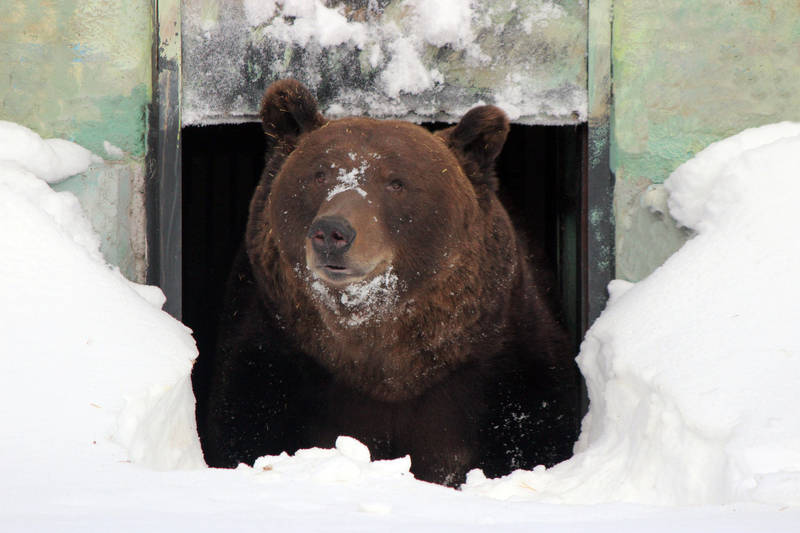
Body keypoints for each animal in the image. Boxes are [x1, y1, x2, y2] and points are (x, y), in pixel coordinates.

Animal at [203, 80, 580, 486]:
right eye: (319, 174)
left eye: (396, 182)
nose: (332, 231)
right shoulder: (274, 351)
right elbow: (245, 426)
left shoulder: (502, 360)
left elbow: (534, 428)